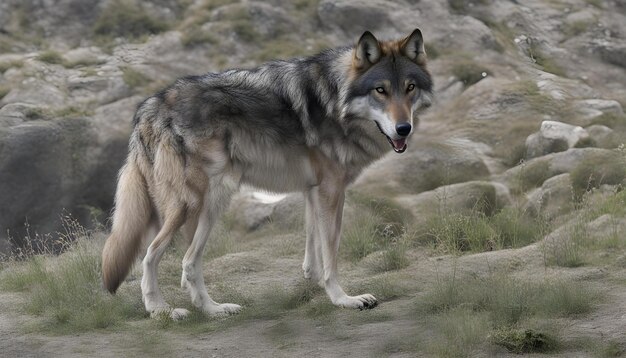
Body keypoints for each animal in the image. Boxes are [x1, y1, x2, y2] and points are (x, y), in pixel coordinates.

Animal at [102, 28, 432, 318]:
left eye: (410, 88)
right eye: (381, 90)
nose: (404, 128)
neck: (335, 99)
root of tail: (147, 109)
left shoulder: (313, 190)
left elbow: (313, 244)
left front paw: (313, 281)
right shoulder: (331, 190)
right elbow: (332, 251)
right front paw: (343, 299)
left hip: (203, 209)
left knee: (187, 266)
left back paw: (214, 310)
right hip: (201, 202)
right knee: (157, 257)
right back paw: (162, 310)